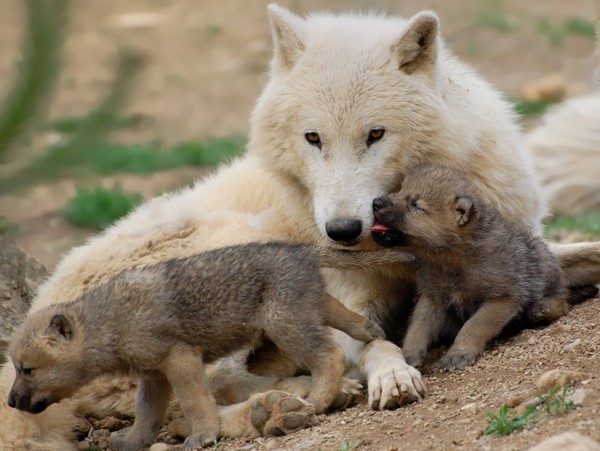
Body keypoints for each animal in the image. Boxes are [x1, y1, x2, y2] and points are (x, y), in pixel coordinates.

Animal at [1, 4, 600, 451]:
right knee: (201, 395)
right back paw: (281, 409)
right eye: (313, 138)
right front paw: (392, 375)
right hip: (233, 258)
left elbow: (577, 253)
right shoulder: (349, 298)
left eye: (376, 134)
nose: (342, 230)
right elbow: (377, 342)